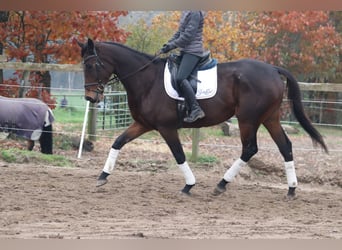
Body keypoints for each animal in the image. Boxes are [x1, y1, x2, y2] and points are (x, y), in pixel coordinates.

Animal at [77, 38, 326, 198]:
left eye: (92, 64)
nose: (90, 98)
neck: (147, 79)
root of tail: (273, 69)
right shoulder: (143, 124)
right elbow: (118, 142)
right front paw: (102, 176)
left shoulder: (166, 128)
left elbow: (178, 155)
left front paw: (189, 186)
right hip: (269, 118)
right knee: (285, 147)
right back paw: (291, 189)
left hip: (248, 120)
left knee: (250, 149)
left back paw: (221, 185)